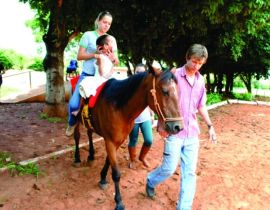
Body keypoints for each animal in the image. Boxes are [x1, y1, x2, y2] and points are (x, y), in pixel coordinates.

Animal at [73, 65, 182, 209]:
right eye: (164, 91)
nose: (178, 127)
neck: (119, 107)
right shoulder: (110, 141)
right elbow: (116, 173)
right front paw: (119, 201)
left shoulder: (118, 140)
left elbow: (108, 161)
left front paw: (102, 178)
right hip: (75, 119)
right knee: (77, 136)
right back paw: (77, 158)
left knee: (89, 132)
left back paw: (91, 155)